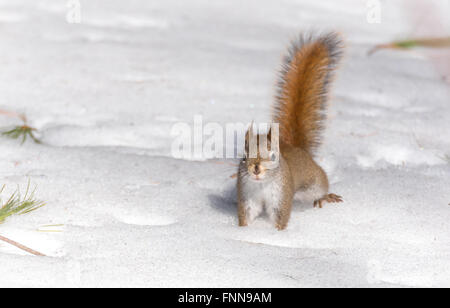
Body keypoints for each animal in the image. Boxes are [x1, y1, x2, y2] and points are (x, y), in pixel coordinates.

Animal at [237, 32, 342, 230]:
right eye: (244, 157)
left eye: (273, 156)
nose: (256, 169)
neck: (262, 185)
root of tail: (295, 147)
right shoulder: (248, 196)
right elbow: (246, 215)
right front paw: (241, 230)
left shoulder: (281, 196)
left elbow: (280, 216)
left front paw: (278, 233)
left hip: (313, 182)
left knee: (320, 189)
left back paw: (325, 197)